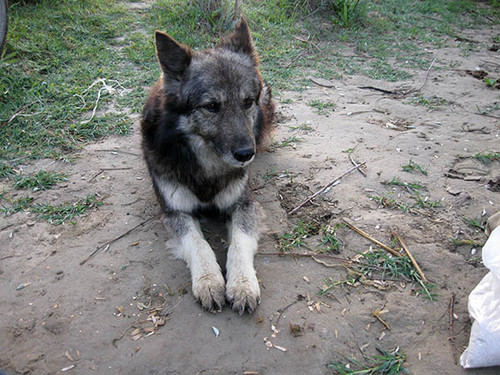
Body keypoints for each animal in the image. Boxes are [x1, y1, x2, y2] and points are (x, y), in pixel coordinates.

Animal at [141, 19, 276, 316]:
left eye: (247, 102)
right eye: (211, 106)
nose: (246, 155)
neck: (207, 169)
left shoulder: (244, 204)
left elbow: (239, 242)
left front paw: (242, 284)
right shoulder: (175, 212)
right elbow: (198, 243)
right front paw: (208, 281)